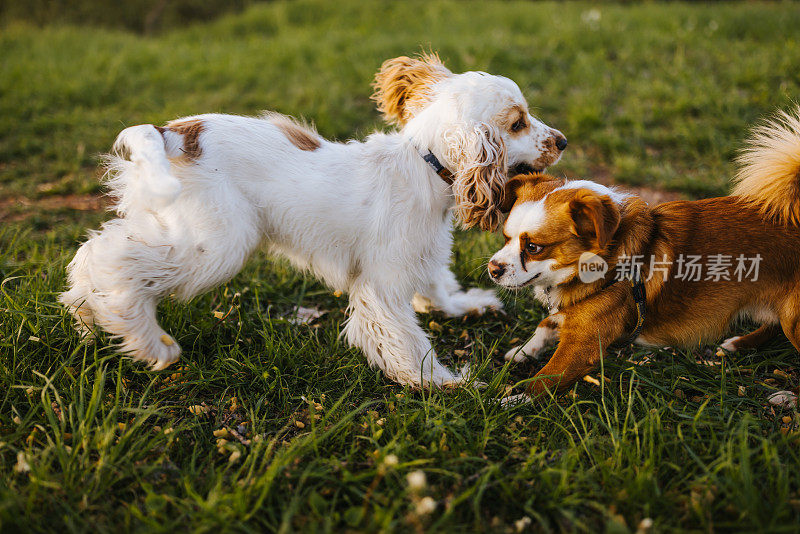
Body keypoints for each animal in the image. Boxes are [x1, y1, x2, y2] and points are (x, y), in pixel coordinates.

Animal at [59, 54, 564, 388]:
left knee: (98, 249)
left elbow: (438, 288)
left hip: (171, 224)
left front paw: (467, 306)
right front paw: (445, 383)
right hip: (218, 245)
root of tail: (171, 135)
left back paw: (85, 319)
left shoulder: (419, 257)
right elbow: (407, 342)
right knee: (117, 268)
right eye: (518, 123)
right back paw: (148, 344)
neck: (424, 164)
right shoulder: (381, 286)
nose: (561, 141)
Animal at [488, 109, 800, 400]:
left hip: (793, 318)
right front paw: (523, 351)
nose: (493, 269)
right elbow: (545, 325)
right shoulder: (570, 314)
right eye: (505, 238)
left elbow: (543, 381)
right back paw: (739, 344)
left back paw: (788, 397)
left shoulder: (581, 345)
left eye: (533, 248)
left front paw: (507, 402)